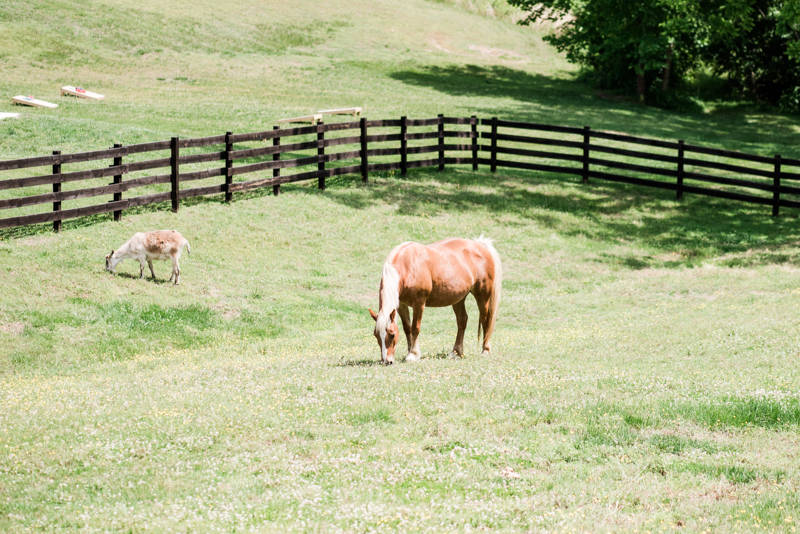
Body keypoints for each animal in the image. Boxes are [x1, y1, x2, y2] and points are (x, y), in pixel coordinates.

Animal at [368, 238, 500, 366]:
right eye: (376, 335)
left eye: (392, 334)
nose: (386, 361)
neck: (407, 266)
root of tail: (480, 245)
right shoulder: (401, 305)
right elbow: (407, 328)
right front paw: (410, 350)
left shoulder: (419, 303)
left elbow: (415, 328)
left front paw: (413, 354)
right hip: (458, 298)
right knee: (462, 320)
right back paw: (456, 352)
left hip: (482, 297)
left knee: (485, 319)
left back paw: (485, 350)